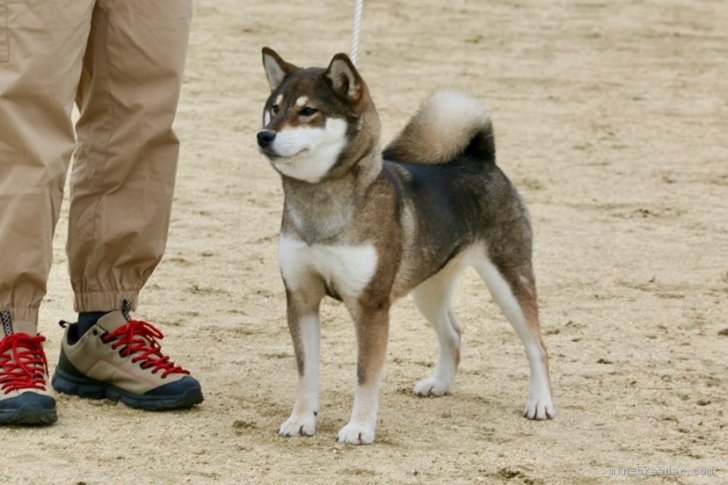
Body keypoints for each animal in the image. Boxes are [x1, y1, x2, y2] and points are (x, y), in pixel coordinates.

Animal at [258, 47, 556, 444]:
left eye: (308, 111)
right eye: (274, 108)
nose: (264, 136)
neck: (321, 204)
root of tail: (481, 159)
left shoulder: (371, 306)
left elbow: (365, 375)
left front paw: (360, 427)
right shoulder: (301, 298)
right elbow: (306, 372)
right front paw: (301, 419)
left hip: (509, 281)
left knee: (537, 345)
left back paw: (540, 402)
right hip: (428, 289)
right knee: (453, 333)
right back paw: (440, 384)